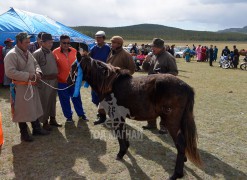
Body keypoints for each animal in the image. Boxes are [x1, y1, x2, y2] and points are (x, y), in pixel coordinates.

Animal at [66, 55, 202, 179]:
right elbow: (123, 133)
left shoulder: (116, 116)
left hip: (172, 122)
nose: (67, 81)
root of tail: (186, 87)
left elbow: (120, 134)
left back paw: (176, 174)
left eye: (74, 66)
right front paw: (125, 149)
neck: (110, 84)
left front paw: (121, 153)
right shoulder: (121, 117)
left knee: (180, 144)